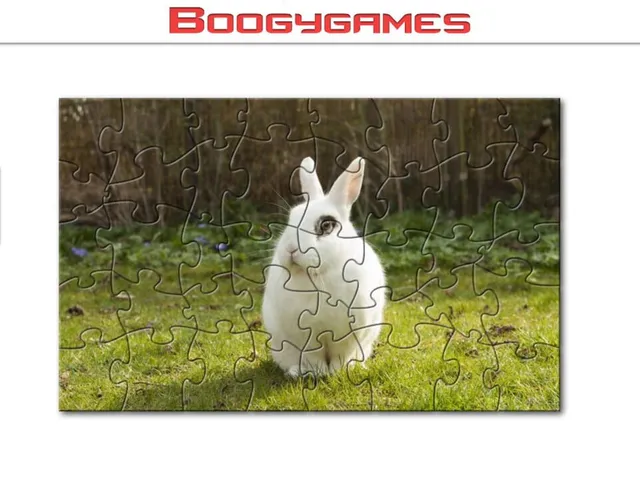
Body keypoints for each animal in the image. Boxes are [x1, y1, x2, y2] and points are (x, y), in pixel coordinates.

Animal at [262, 156, 387, 378]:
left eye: (327, 225)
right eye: (291, 218)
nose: (291, 249)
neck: (318, 277)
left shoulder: (348, 335)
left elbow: (341, 355)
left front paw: (338, 372)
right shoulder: (305, 335)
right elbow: (313, 357)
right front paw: (317, 373)